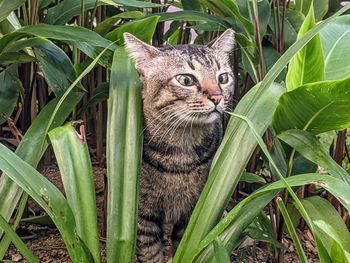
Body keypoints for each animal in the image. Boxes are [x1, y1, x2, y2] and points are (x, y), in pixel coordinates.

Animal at [123, 28, 235, 263]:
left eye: (223, 78)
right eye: (186, 80)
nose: (217, 97)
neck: (179, 155)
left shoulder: (193, 211)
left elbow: (184, 244)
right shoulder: (143, 215)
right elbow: (150, 253)